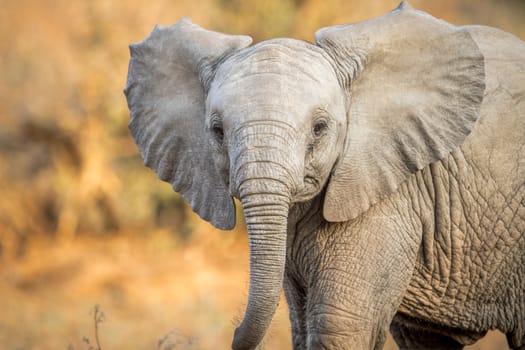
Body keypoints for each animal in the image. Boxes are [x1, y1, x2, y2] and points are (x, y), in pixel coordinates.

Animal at [125, 2, 520, 350]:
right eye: (218, 131)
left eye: (319, 128)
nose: (234, 333)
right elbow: (302, 326)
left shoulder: (391, 190)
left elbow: (338, 327)